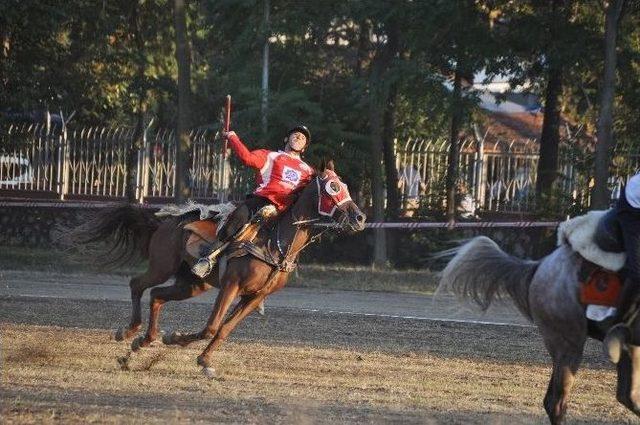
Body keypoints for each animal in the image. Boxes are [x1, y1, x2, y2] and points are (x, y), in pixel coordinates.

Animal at [70, 161, 364, 374]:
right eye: (333, 187)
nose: (359, 217)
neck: (275, 244)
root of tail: (166, 222)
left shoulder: (255, 296)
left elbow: (223, 329)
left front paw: (197, 355)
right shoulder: (231, 284)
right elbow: (212, 326)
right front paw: (180, 342)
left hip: (192, 284)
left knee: (157, 296)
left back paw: (141, 344)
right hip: (162, 266)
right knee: (138, 285)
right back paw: (130, 331)